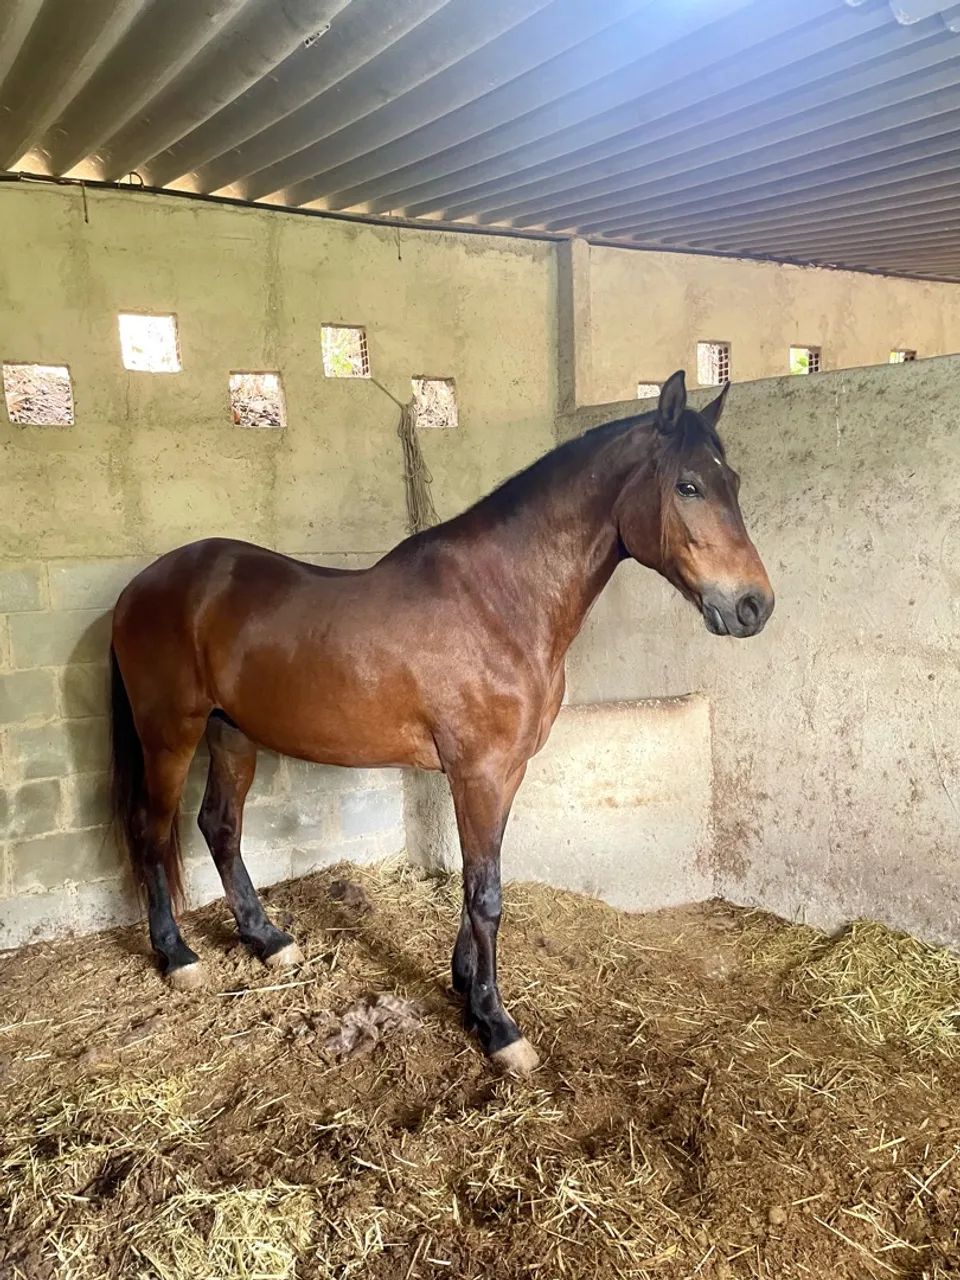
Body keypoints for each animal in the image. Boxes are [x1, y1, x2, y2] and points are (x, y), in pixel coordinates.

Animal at [108, 369, 773, 1075]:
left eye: (733, 483)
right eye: (688, 485)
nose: (754, 606)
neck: (499, 601)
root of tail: (143, 585)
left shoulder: (502, 772)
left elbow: (478, 880)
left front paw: (465, 988)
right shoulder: (477, 771)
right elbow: (487, 895)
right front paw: (498, 1026)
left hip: (231, 733)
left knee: (220, 826)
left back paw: (268, 940)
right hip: (169, 734)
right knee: (152, 830)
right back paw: (177, 956)